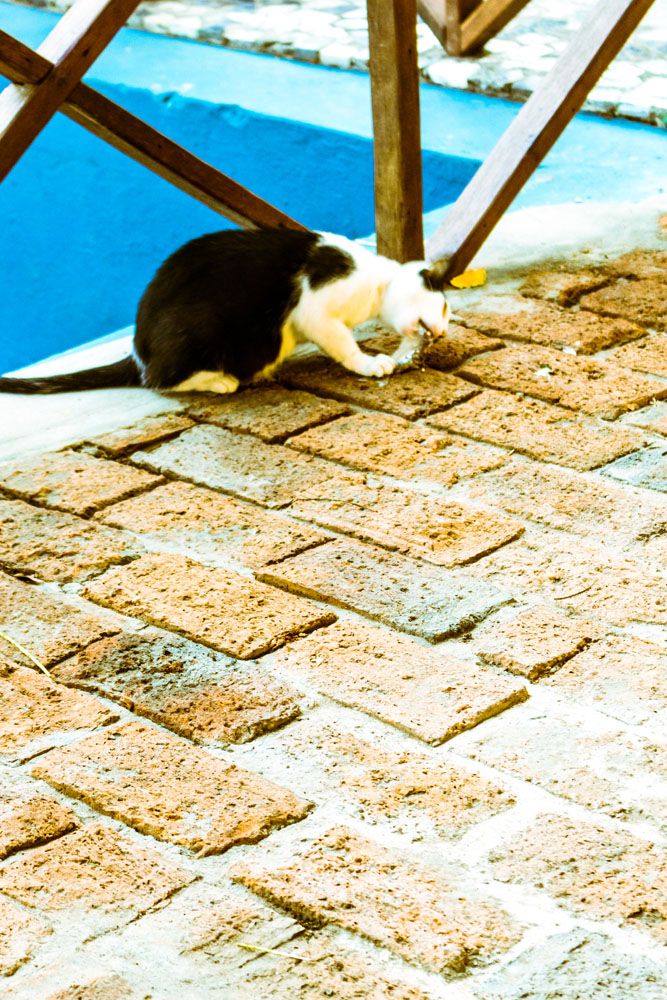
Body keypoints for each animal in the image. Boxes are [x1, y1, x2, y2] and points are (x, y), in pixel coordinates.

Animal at [0, 228, 451, 395]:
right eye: (446, 306)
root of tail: (137, 351)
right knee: (159, 381)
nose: (444, 331)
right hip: (205, 330)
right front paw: (369, 363)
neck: (376, 279)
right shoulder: (314, 310)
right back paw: (223, 380)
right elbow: (342, 342)